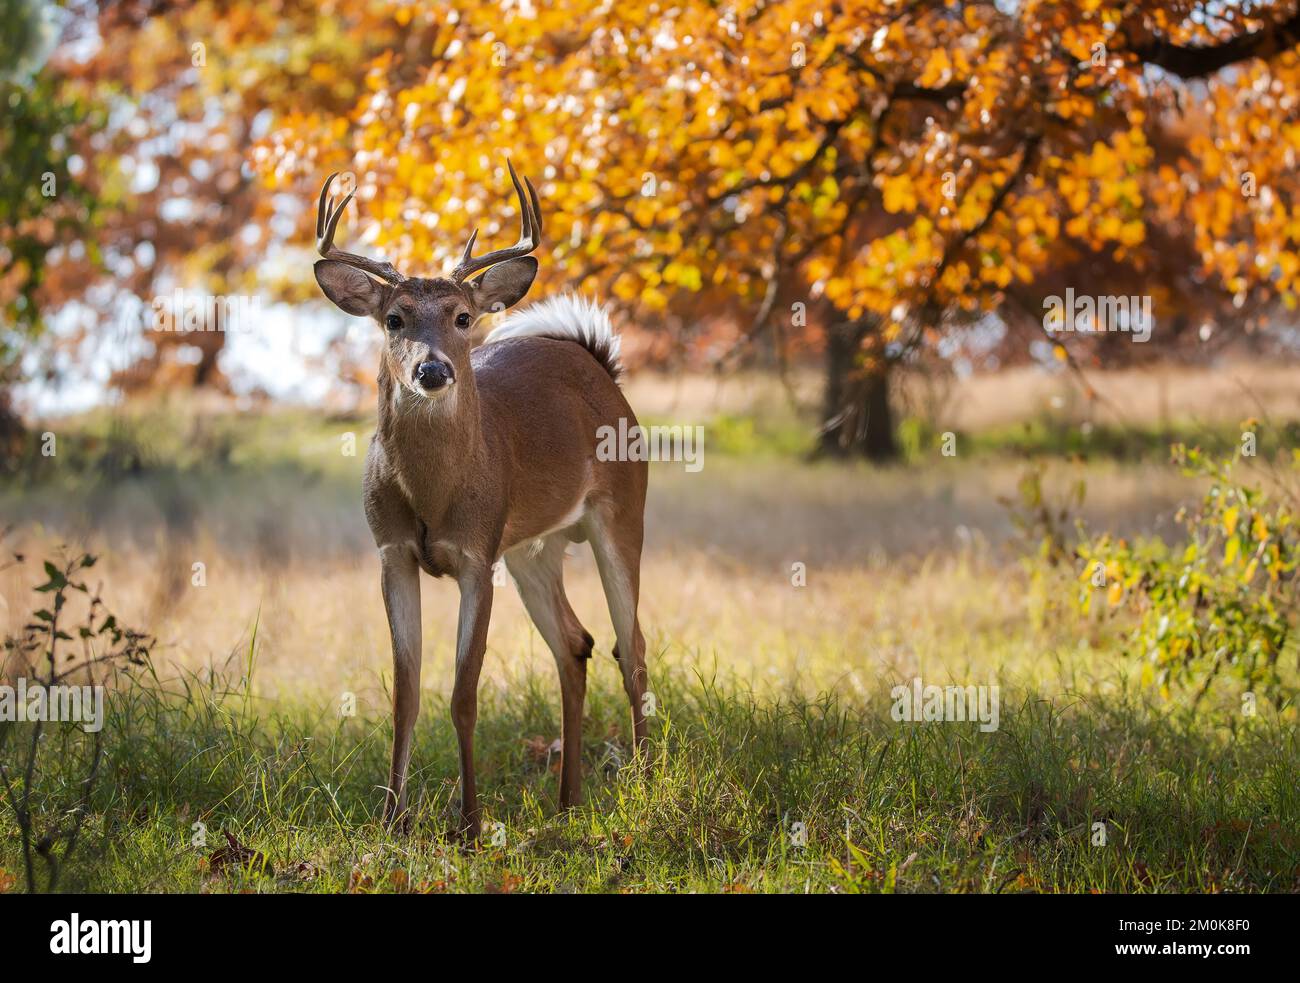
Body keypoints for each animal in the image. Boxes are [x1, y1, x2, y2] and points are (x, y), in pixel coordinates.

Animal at [311, 163, 649, 841]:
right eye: (395, 318)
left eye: (463, 316)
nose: (433, 370)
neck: (435, 494)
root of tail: (598, 363)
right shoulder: (392, 553)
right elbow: (405, 693)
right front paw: (392, 821)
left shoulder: (476, 555)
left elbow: (464, 693)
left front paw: (468, 824)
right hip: (532, 548)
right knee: (576, 644)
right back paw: (568, 802)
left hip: (624, 512)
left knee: (633, 650)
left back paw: (653, 783)